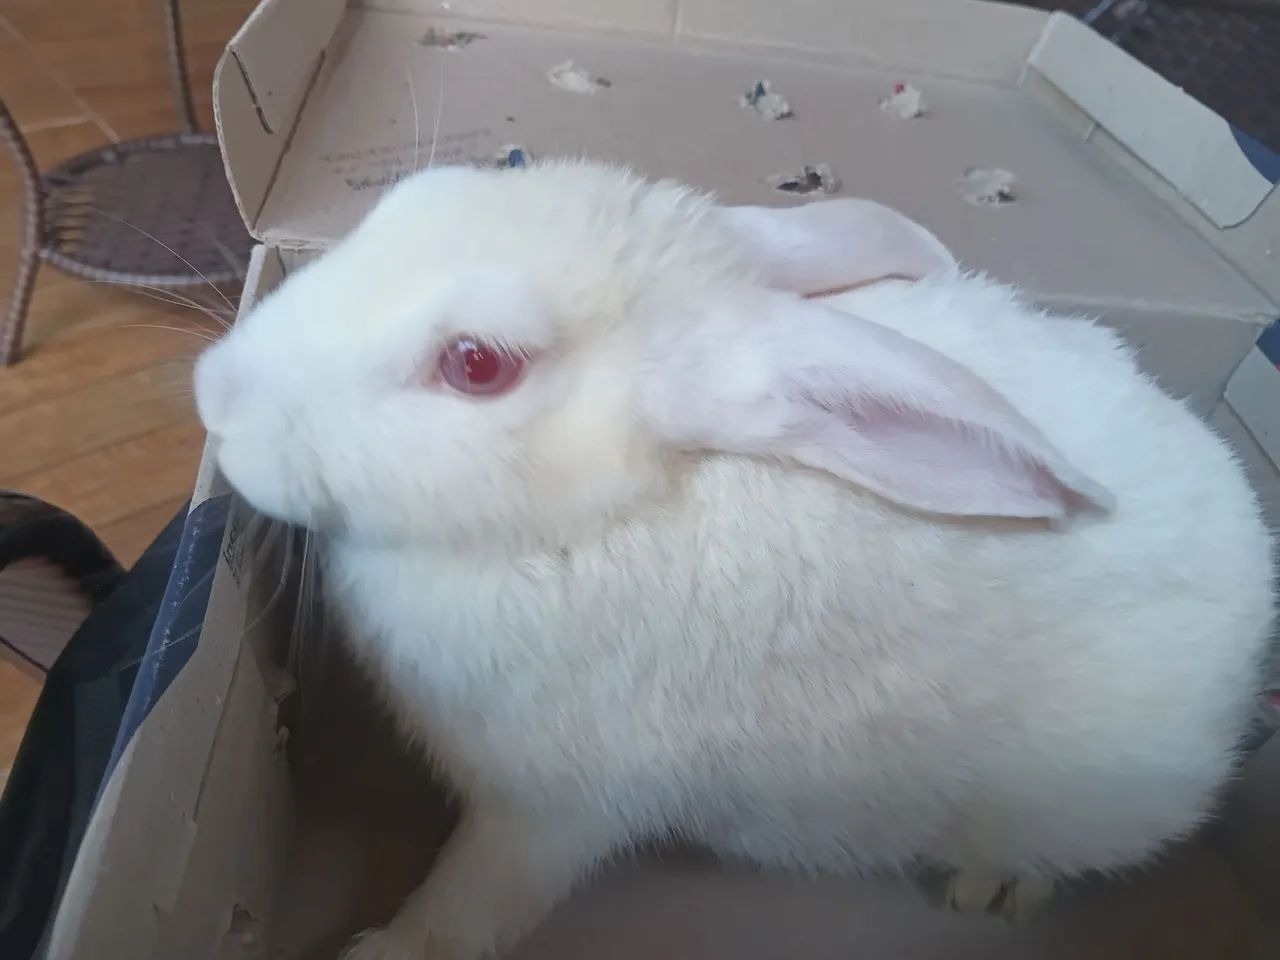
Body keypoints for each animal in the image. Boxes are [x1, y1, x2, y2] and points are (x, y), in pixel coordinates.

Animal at [193, 160, 1276, 960]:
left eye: (476, 364)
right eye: (408, 196)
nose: (214, 394)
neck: (588, 518)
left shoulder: (549, 812)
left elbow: (471, 905)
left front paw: (383, 948)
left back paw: (993, 885)